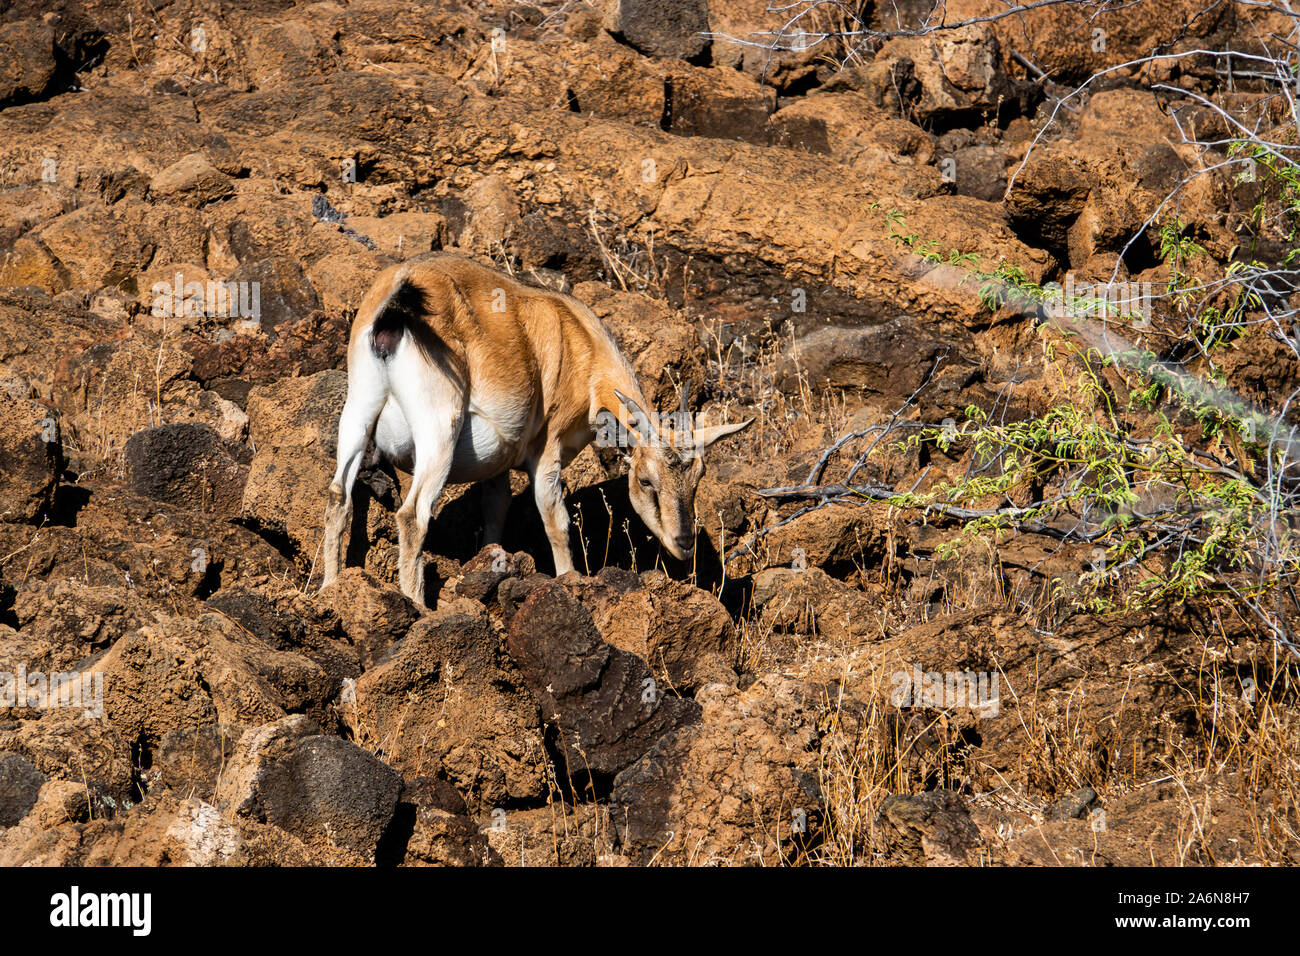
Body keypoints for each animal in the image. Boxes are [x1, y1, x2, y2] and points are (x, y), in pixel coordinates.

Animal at [319, 251, 754, 600]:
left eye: (697, 480)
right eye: (646, 480)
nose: (684, 543)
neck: (577, 342)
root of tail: (399, 298)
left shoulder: (494, 464)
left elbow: (496, 509)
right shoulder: (548, 451)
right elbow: (555, 519)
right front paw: (570, 579)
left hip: (358, 409)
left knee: (338, 495)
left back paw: (329, 588)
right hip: (439, 427)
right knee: (413, 515)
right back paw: (417, 605)